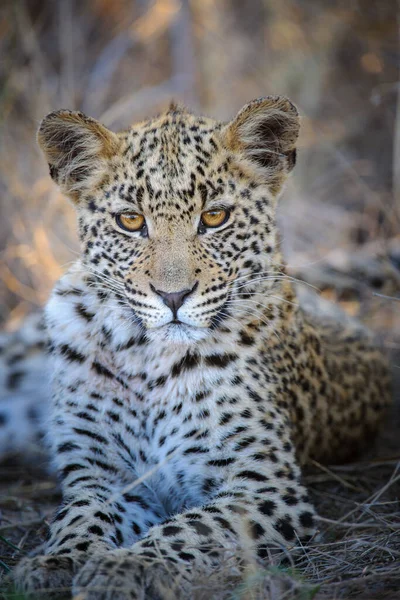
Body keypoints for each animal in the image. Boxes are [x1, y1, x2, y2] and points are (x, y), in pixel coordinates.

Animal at [0, 96, 390, 596]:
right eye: (130, 221)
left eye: (214, 218)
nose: (173, 296)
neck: (146, 358)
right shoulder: (102, 475)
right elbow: (82, 515)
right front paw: (58, 562)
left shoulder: (262, 488)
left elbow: (188, 530)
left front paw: (122, 567)